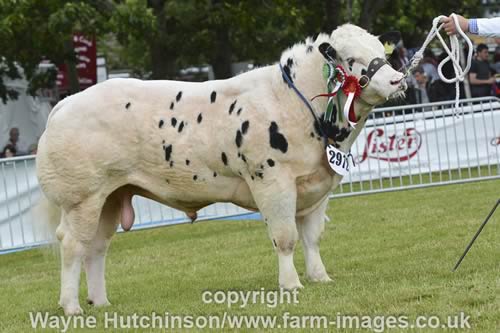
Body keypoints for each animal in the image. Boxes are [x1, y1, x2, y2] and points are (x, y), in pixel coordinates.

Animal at [38, 24, 406, 314]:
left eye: (380, 51)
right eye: (351, 58)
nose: (397, 80)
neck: (297, 105)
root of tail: (65, 103)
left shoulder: (318, 186)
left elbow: (312, 238)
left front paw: (320, 277)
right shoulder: (272, 180)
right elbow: (285, 237)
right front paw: (290, 284)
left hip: (111, 196)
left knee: (96, 246)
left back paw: (100, 302)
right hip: (82, 198)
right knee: (72, 244)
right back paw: (70, 306)